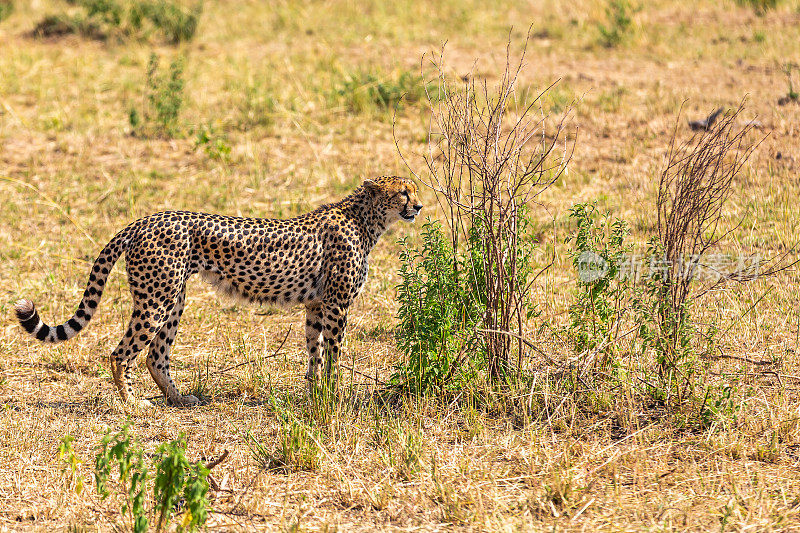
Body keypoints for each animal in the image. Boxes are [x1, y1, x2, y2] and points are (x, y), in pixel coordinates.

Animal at [14, 177, 424, 406]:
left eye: (414, 191)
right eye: (403, 193)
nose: (419, 206)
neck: (366, 218)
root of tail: (145, 219)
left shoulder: (315, 305)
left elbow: (315, 353)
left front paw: (315, 396)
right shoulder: (337, 305)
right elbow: (334, 355)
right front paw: (334, 396)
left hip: (173, 299)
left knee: (155, 356)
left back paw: (179, 398)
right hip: (157, 299)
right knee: (121, 353)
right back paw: (131, 404)